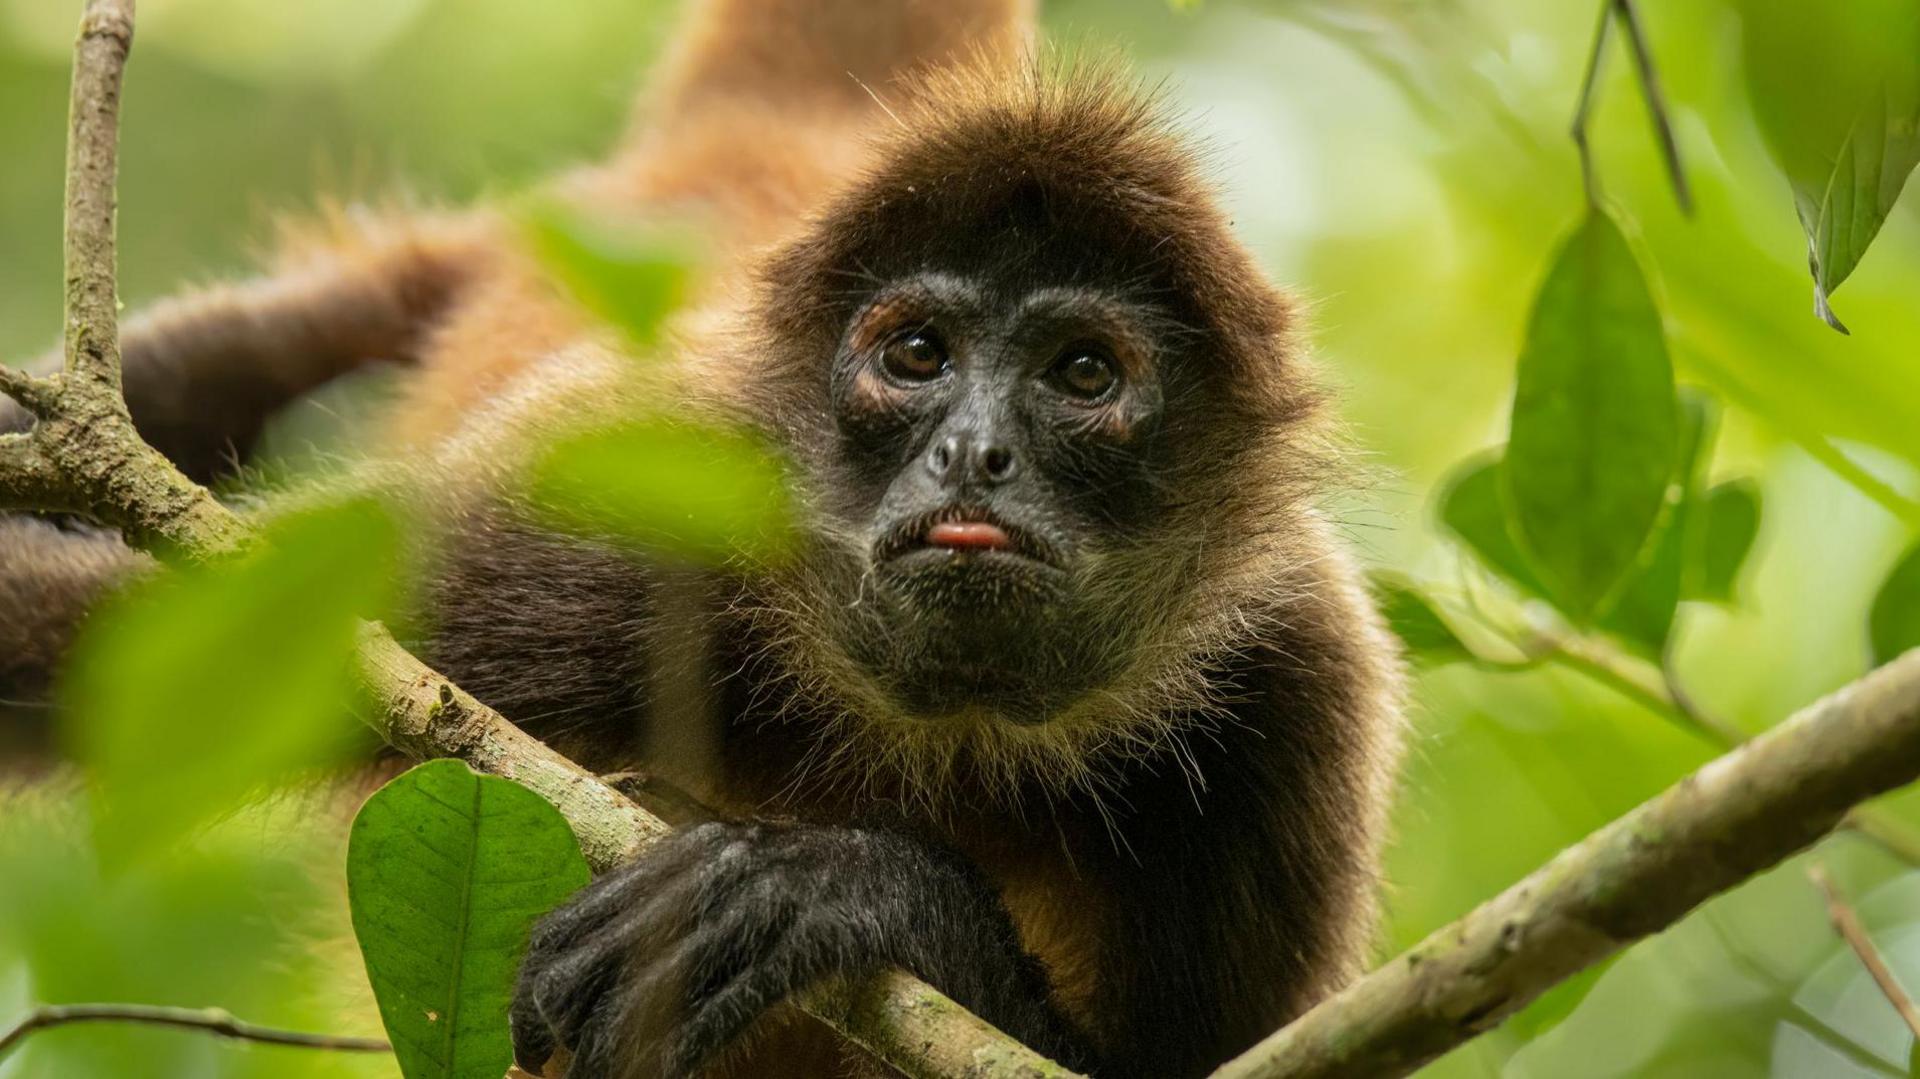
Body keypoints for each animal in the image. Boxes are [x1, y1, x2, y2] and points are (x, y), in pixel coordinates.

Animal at [0, 1, 1406, 1076]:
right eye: (917, 356)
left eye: (1081, 374)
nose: (974, 453)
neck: (938, 729)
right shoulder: (595, 531)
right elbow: (99, 654)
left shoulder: (1293, 690)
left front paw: (839, 889)